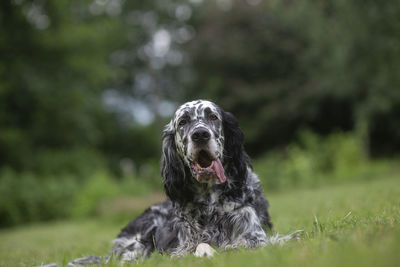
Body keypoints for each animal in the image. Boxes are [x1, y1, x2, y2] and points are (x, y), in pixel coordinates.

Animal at [54, 100, 296, 267]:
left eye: (213, 117)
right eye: (183, 122)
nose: (200, 134)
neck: (210, 204)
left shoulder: (255, 237)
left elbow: (243, 244)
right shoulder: (182, 245)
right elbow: (198, 247)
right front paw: (205, 252)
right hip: (140, 240)